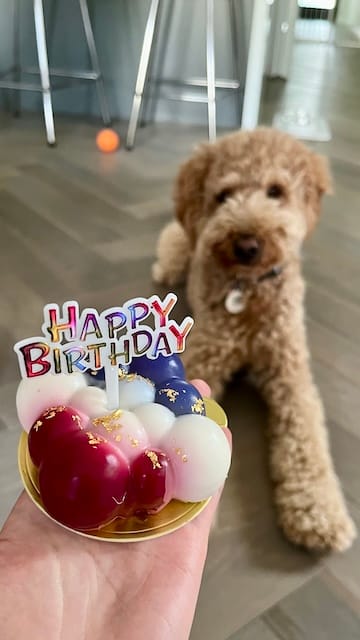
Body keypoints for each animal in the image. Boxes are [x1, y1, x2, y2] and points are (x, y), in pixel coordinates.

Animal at [153, 127, 356, 552]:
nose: (246, 244)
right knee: (170, 251)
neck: (248, 291)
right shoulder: (206, 357)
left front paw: (319, 513)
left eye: (276, 191)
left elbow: (305, 439)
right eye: (223, 195)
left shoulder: (290, 374)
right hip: (179, 245)